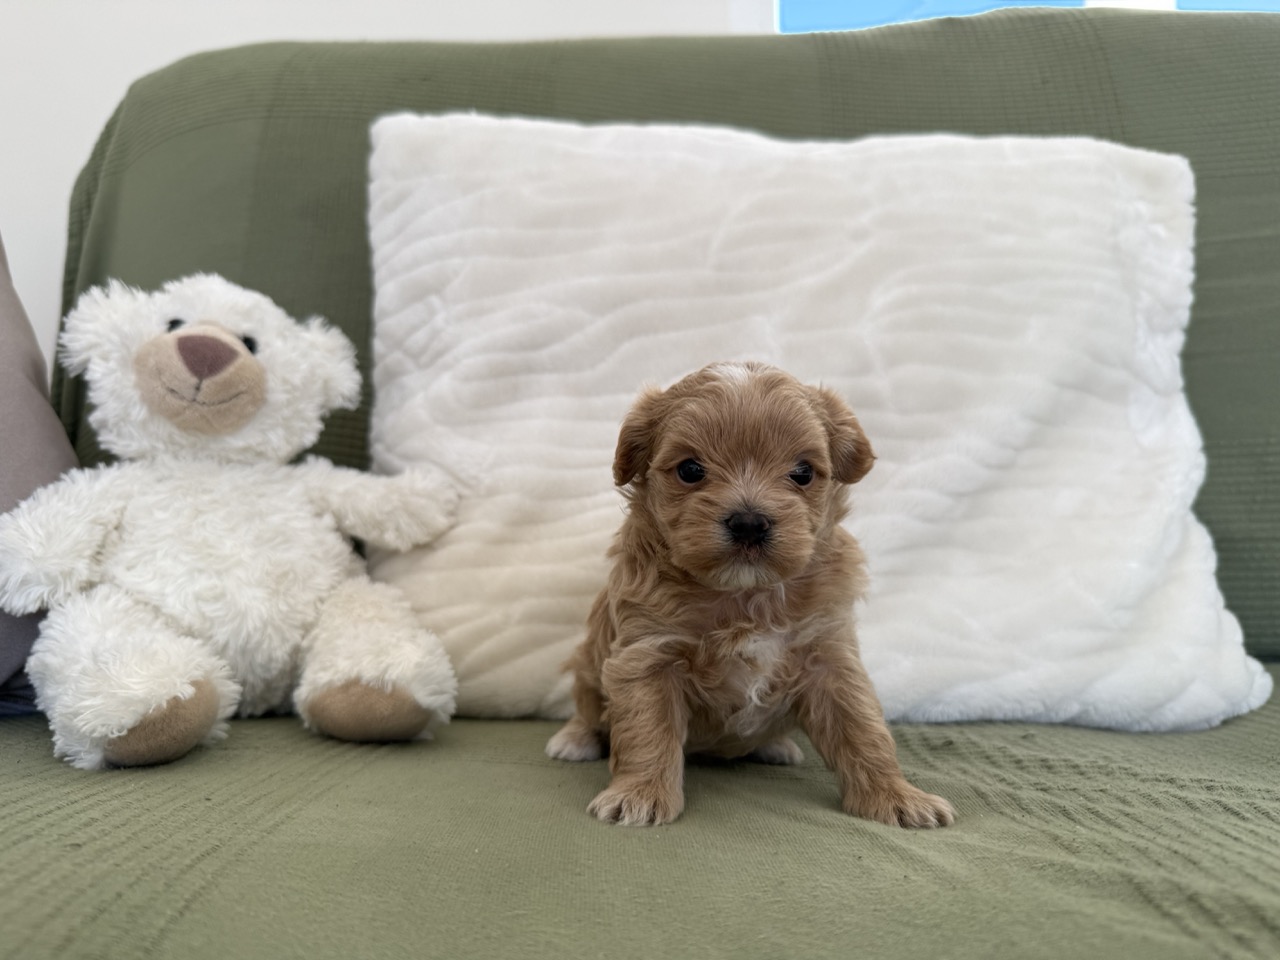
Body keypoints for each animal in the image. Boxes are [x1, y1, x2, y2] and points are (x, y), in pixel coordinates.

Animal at [546, 361, 955, 828]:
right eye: (690, 470)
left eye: (802, 472)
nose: (748, 522)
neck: (745, 594)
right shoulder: (647, 654)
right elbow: (647, 730)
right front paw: (640, 794)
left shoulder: (828, 652)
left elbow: (862, 728)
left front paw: (896, 796)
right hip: (588, 663)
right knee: (587, 707)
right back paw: (574, 738)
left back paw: (775, 745)